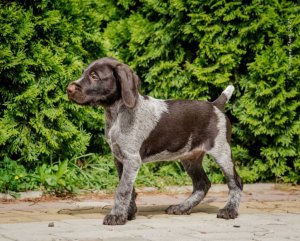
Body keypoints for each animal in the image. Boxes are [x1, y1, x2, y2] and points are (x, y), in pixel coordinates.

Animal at [67, 57, 243, 225]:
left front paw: (116, 216)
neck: (117, 113)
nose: (68, 89)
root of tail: (215, 105)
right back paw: (182, 207)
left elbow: (122, 190)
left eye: (94, 76)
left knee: (236, 182)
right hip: (190, 158)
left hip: (222, 152)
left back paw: (229, 211)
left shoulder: (131, 159)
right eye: (84, 73)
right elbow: (129, 189)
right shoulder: (120, 158)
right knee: (202, 184)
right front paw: (128, 213)